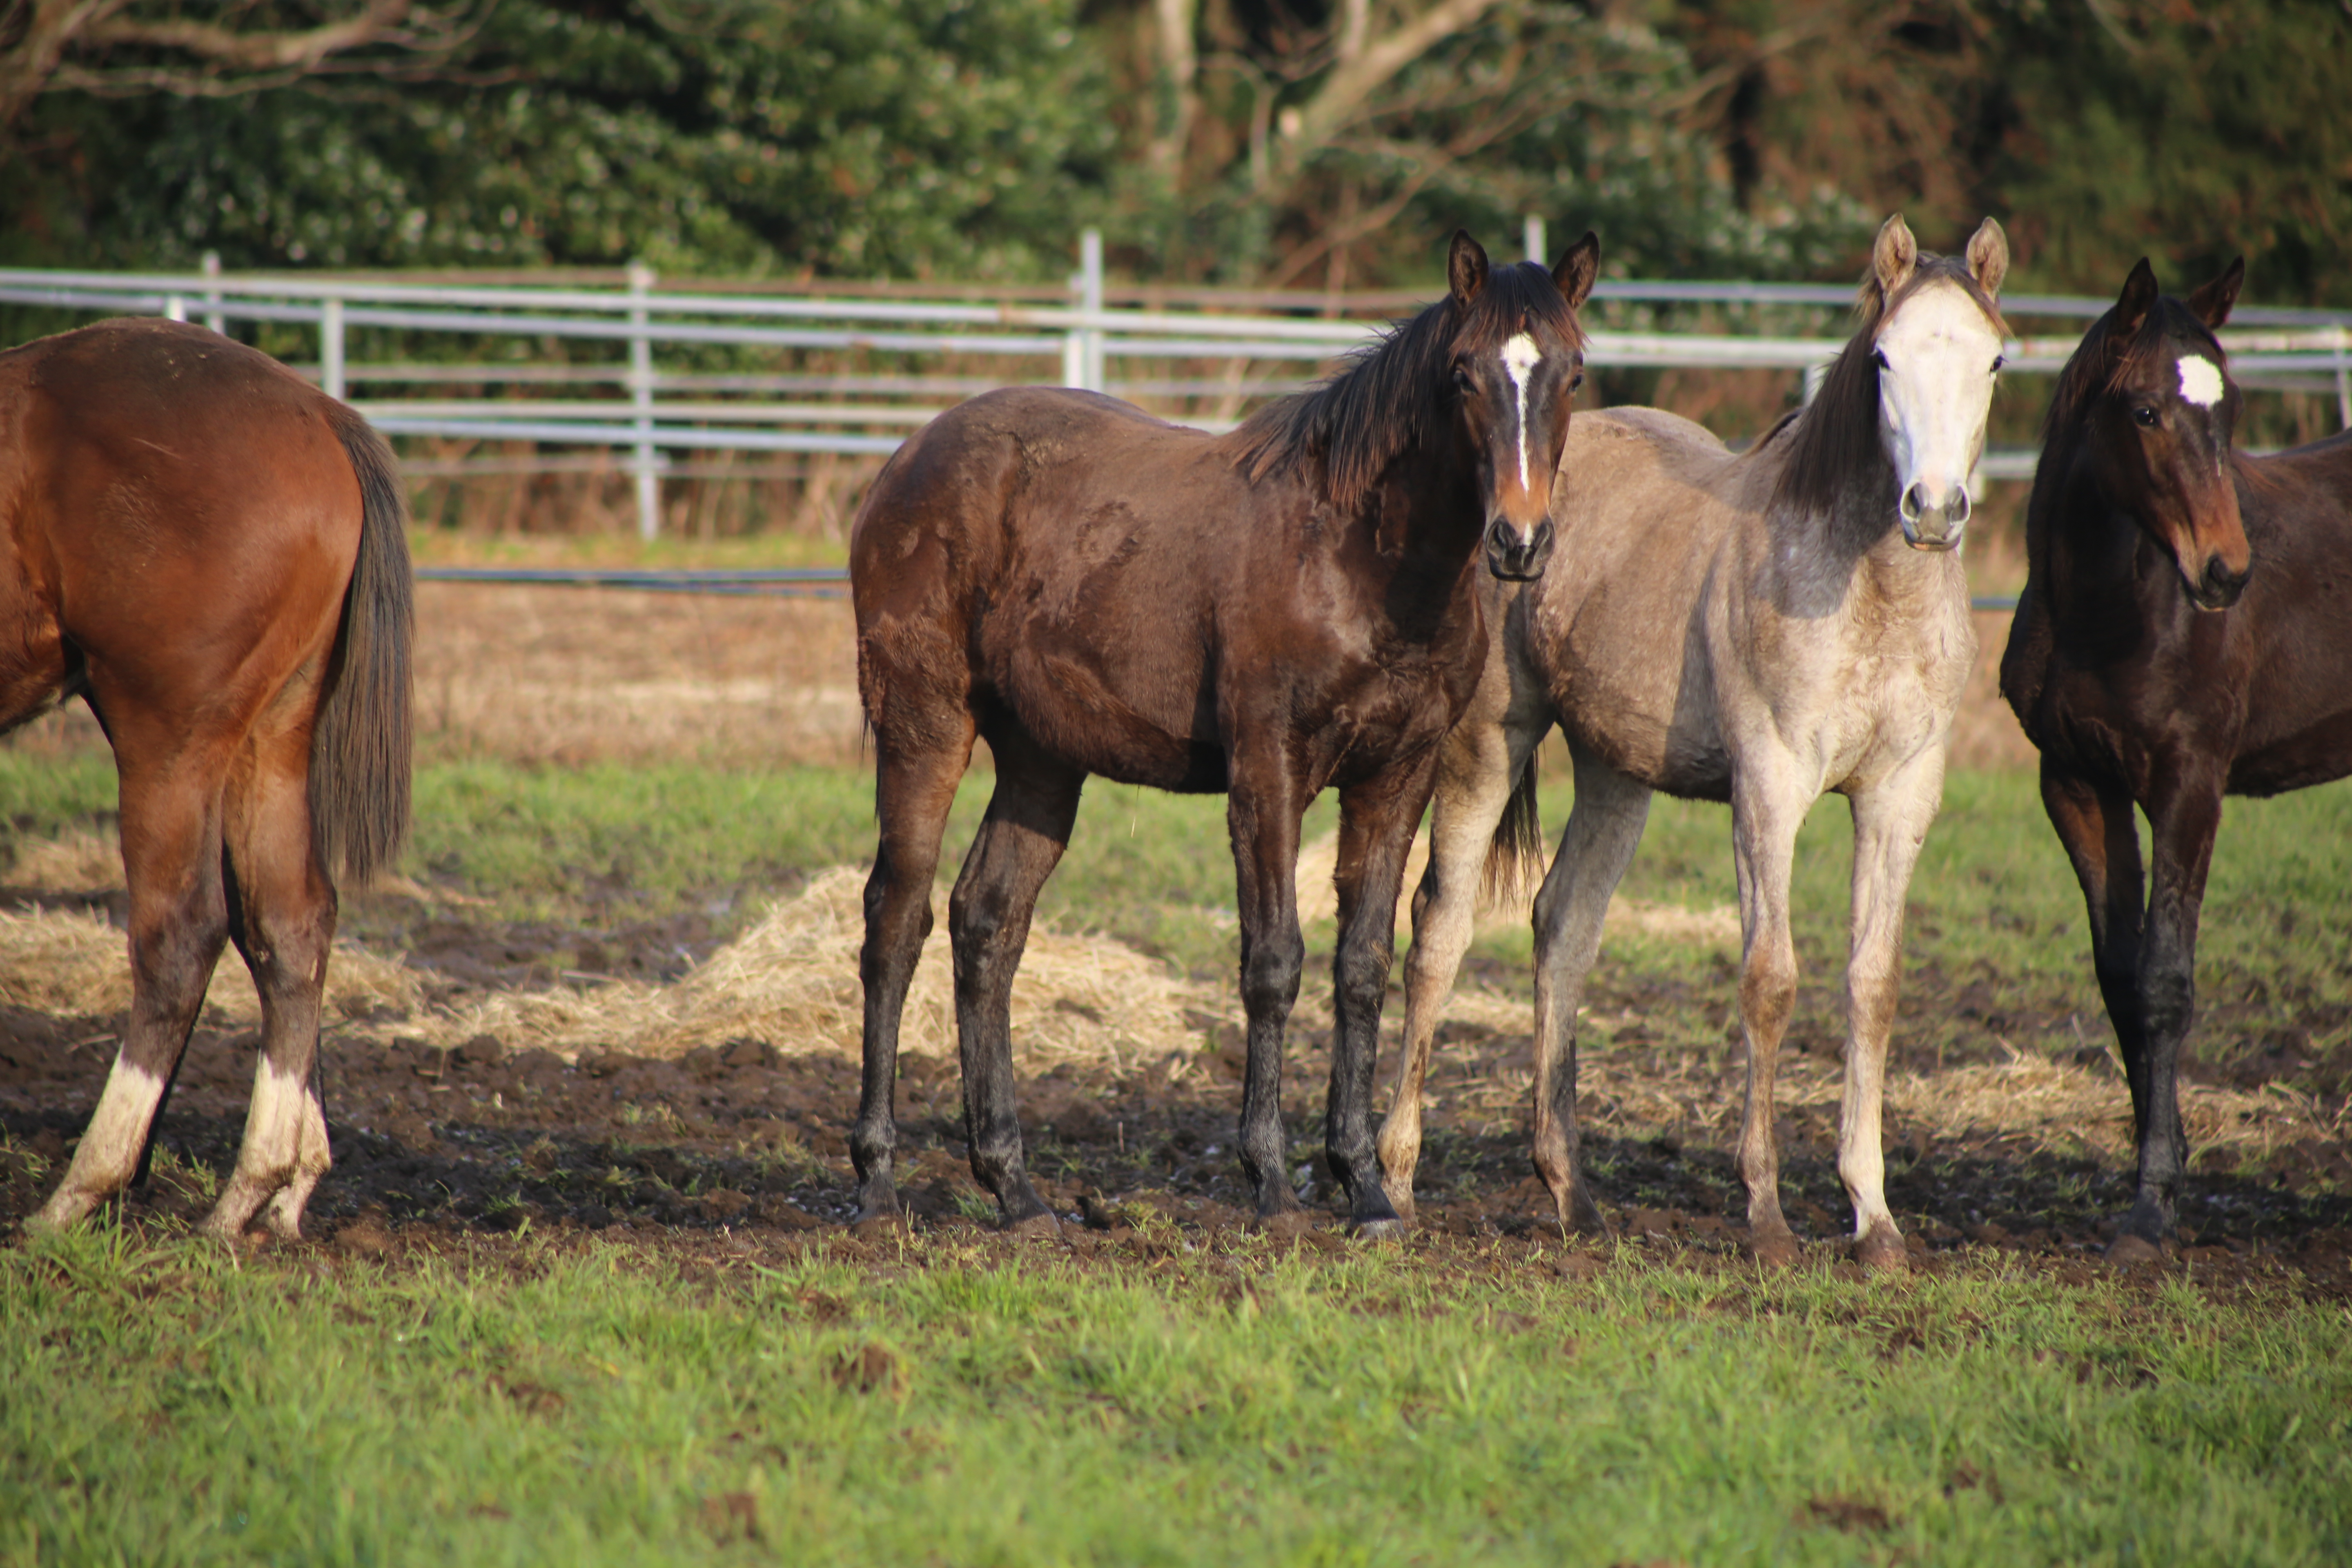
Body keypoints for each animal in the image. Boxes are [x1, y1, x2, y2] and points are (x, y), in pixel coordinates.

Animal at [6, 319, 414, 1241]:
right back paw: (259, 1191)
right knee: (290, 923)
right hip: (271, 735)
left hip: (167, 736)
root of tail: (322, 415)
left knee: (181, 934)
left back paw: (80, 1191)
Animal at [846, 232, 1599, 1241]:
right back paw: (877, 1181)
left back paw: (1016, 1189)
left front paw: (1366, 1191)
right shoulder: (1268, 771)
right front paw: (1273, 1183)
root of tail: (904, 461)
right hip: (924, 729)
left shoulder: (1395, 778)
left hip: (1043, 763)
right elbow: (1273, 962)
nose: (1520, 542)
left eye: (1572, 372)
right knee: (897, 920)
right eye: (1463, 373)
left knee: (986, 924)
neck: (1358, 558)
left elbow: (1361, 967)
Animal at [1373, 215, 2022, 1269]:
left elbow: (1872, 986)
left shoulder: (1900, 796)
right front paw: (1765, 1216)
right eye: (1882, 358)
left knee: (1563, 928)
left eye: (1994, 359)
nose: (1931, 509)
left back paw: (1570, 1193)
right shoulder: (1770, 785)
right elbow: (1769, 980)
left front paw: (1874, 1217)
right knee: (1438, 929)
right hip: (1489, 743)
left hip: (1614, 772)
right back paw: (1393, 1180)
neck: (1864, 588)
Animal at [2004, 257, 2352, 1260]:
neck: (2109, 611)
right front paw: (2167, 1169)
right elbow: (2121, 979)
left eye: (2230, 406)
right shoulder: (2078, 784)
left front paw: (2153, 1205)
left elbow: (2166, 979)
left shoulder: (2191, 786)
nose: (2226, 573)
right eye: (2146, 411)